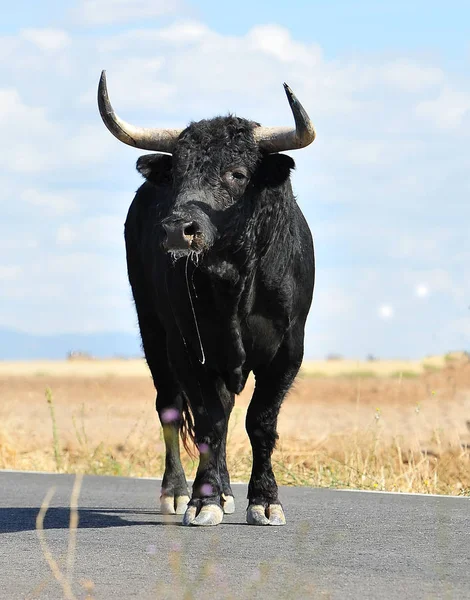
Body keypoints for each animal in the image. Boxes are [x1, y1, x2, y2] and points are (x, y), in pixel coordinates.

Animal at [96, 74, 316, 524]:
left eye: (237, 172)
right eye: (178, 174)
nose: (177, 230)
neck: (234, 282)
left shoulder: (289, 350)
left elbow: (260, 421)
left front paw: (264, 500)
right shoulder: (187, 348)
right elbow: (209, 422)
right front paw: (202, 500)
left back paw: (227, 491)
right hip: (153, 331)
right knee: (171, 407)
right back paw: (178, 492)